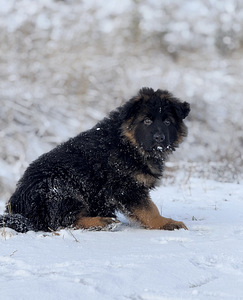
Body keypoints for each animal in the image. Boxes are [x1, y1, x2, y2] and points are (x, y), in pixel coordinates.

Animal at [0, 86, 190, 232]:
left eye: (167, 122)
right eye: (147, 121)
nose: (159, 139)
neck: (127, 144)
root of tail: (16, 207)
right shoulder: (126, 187)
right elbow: (150, 210)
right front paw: (166, 223)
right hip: (59, 187)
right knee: (62, 221)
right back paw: (102, 222)